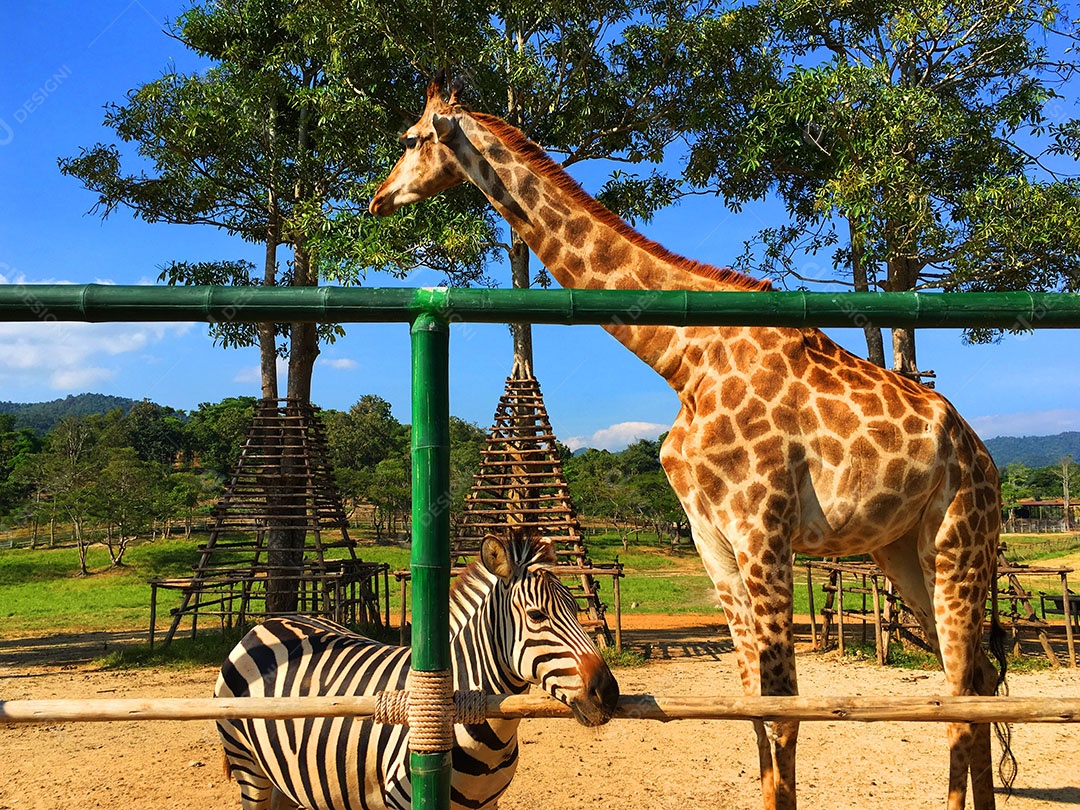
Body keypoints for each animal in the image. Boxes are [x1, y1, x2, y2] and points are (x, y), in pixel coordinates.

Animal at [215, 528, 619, 810]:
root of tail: (269, 622)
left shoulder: (489, 803)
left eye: (577, 608)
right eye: (536, 616)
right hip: (249, 767)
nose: (608, 692)